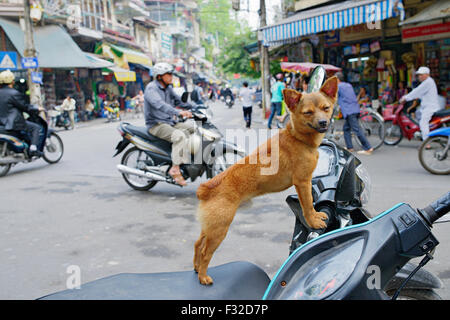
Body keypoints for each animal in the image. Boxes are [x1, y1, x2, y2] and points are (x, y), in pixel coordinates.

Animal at [193, 75, 338, 284]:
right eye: (308, 112)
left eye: (326, 108)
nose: (323, 123)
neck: (297, 137)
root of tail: (206, 189)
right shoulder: (302, 182)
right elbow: (308, 205)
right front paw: (313, 220)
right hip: (219, 230)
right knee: (205, 253)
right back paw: (203, 276)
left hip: (210, 227)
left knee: (197, 244)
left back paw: (197, 268)